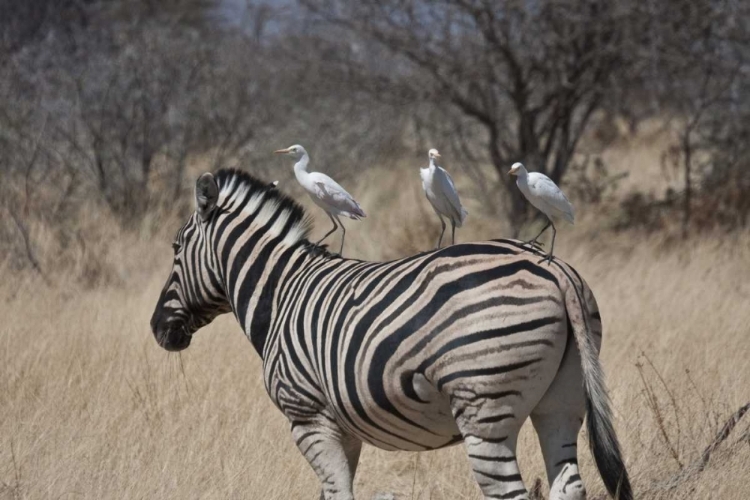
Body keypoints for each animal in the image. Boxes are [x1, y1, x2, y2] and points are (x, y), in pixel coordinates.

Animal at [151, 168, 636, 500]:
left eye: (175, 248)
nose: (158, 329)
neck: (283, 293)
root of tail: (552, 269)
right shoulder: (341, 427)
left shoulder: (306, 416)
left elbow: (338, 494)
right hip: (562, 403)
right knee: (568, 484)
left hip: (486, 411)